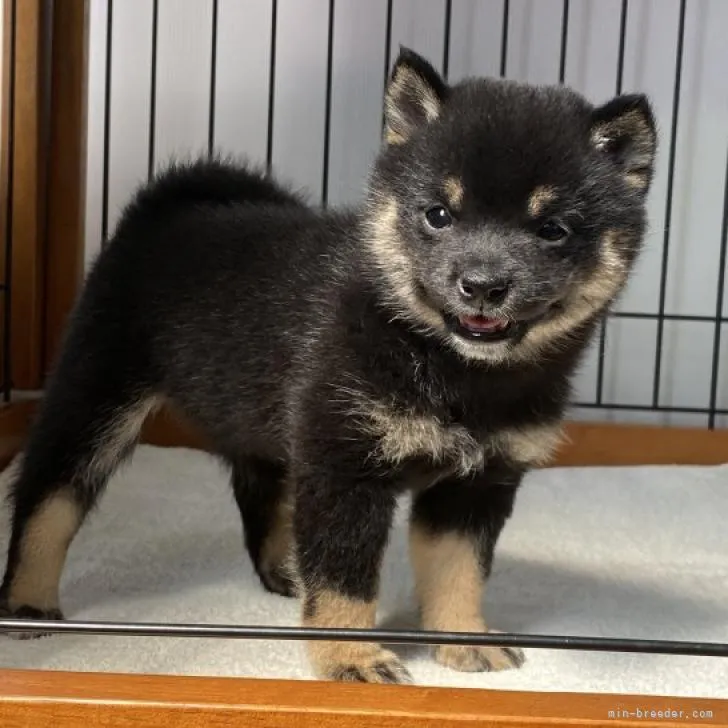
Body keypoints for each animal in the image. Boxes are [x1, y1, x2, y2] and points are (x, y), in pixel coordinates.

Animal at [0, 49, 656, 684]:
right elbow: (345, 581)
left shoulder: (474, 485)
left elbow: (459, 572)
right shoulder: (346, 465)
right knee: (47, 500)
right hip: (95, 397)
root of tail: (164, 209)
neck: (450, 368)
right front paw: (349, 658)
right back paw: (28, 604)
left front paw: (463, 641)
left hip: (257, 418)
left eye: (552, 229)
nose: (482, 285)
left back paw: (284, 570)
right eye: (439, 215)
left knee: (259, 490)